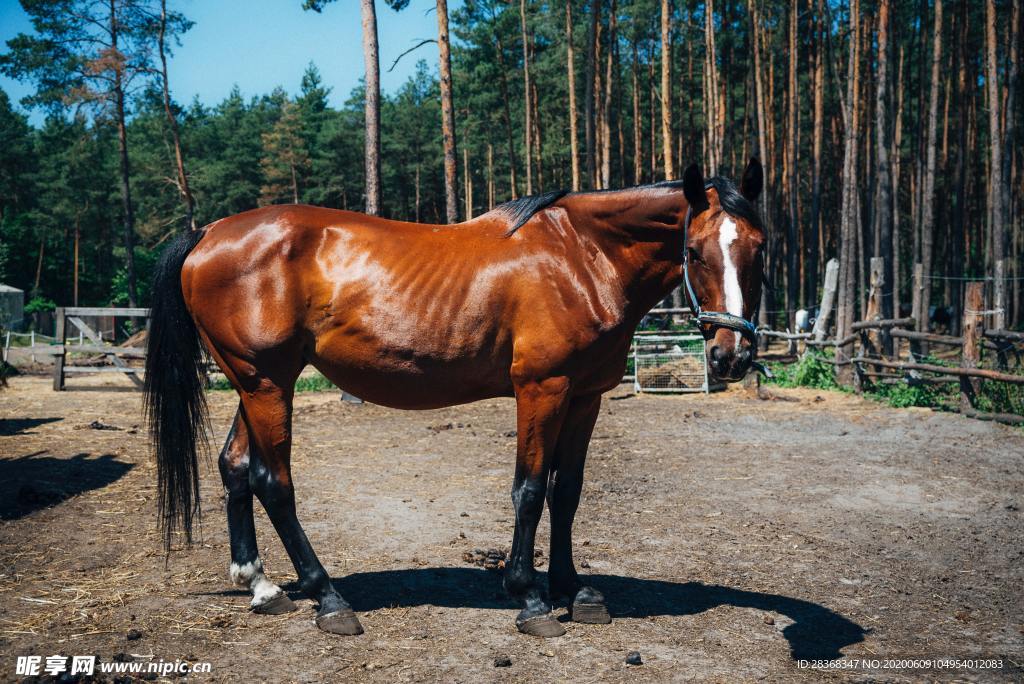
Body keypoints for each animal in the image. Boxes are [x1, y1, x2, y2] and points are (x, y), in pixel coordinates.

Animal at [144, 159, 766, 638]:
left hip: (255, 383)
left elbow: (567, 492)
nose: (731, 356)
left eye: (759, 249)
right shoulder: (542, 389)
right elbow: (530, 491)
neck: (582, 257)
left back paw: (262, 585)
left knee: (235, 467)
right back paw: (329, 599)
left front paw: (573, 590)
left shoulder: (585, 396)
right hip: (268, 384)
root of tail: (209, 232)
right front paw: (531, 598)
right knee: (273, 482)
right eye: (695, 250)